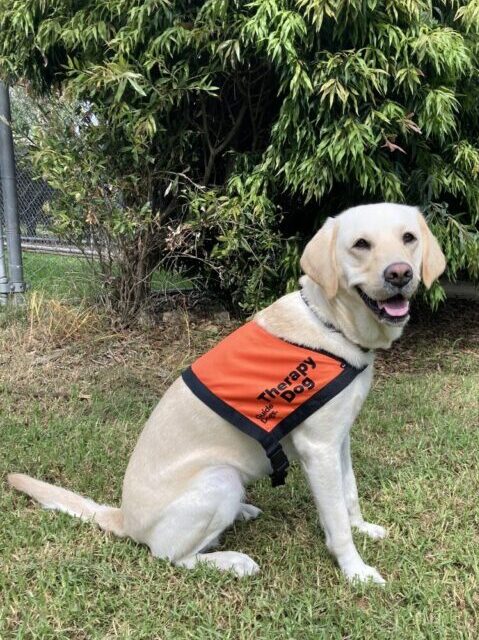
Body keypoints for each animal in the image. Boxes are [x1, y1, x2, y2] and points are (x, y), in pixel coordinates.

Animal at [7, 204, 446, 584]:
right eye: (360, 244)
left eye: (408, 238)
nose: (400, 273)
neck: (331, 324)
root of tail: (123, 519)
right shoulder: (317, 447)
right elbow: (336, 520)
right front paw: (356, 571)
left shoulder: (339, 439)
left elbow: (348, 492)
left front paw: (363, 528)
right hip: (220, 479)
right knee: (172, 556)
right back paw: (232, 561)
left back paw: (243, 513)